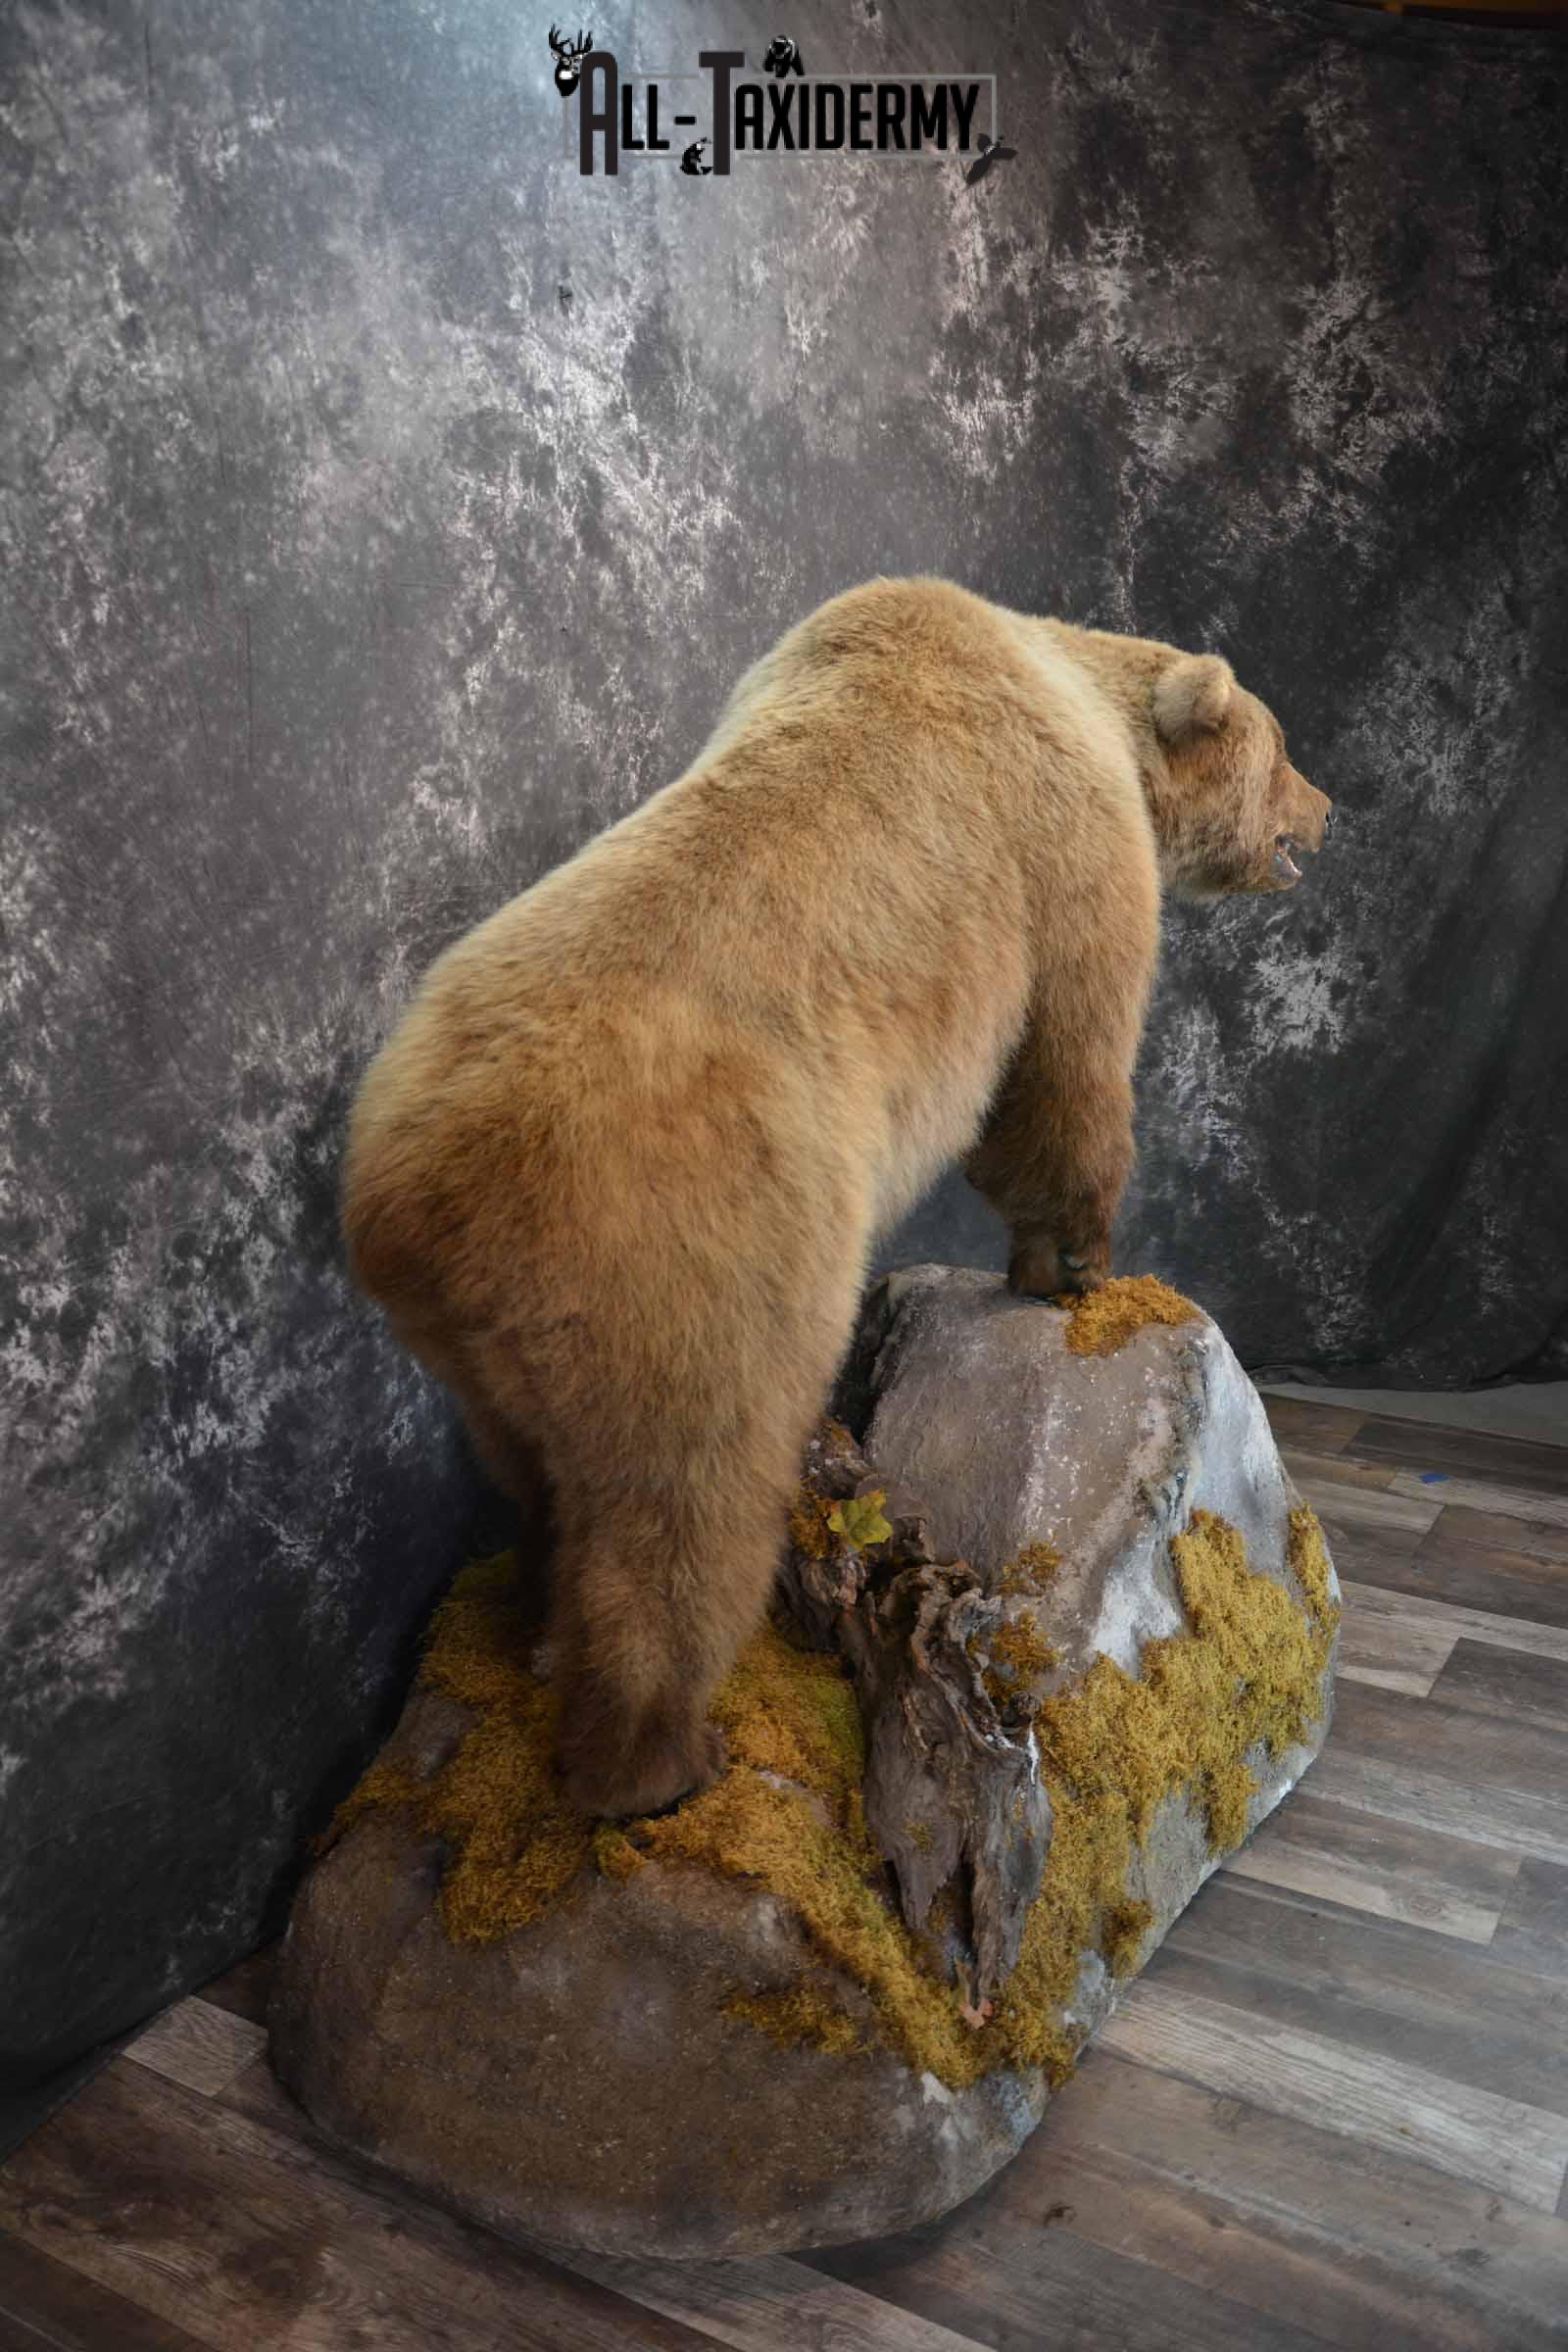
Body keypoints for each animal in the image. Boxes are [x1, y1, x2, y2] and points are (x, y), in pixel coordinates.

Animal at [341, 575, 1330, 1819]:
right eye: (1282, 747)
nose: (1327, 810)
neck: (1074, 688)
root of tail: (419, 1199)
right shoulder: (1062, 852)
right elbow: (1067, 1060)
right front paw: (1073, 1265)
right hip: (694, 1255)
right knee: (683, 1511)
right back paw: (659, 1759)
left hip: (480, 1351)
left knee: (539, 1478)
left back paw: (530, 1611)